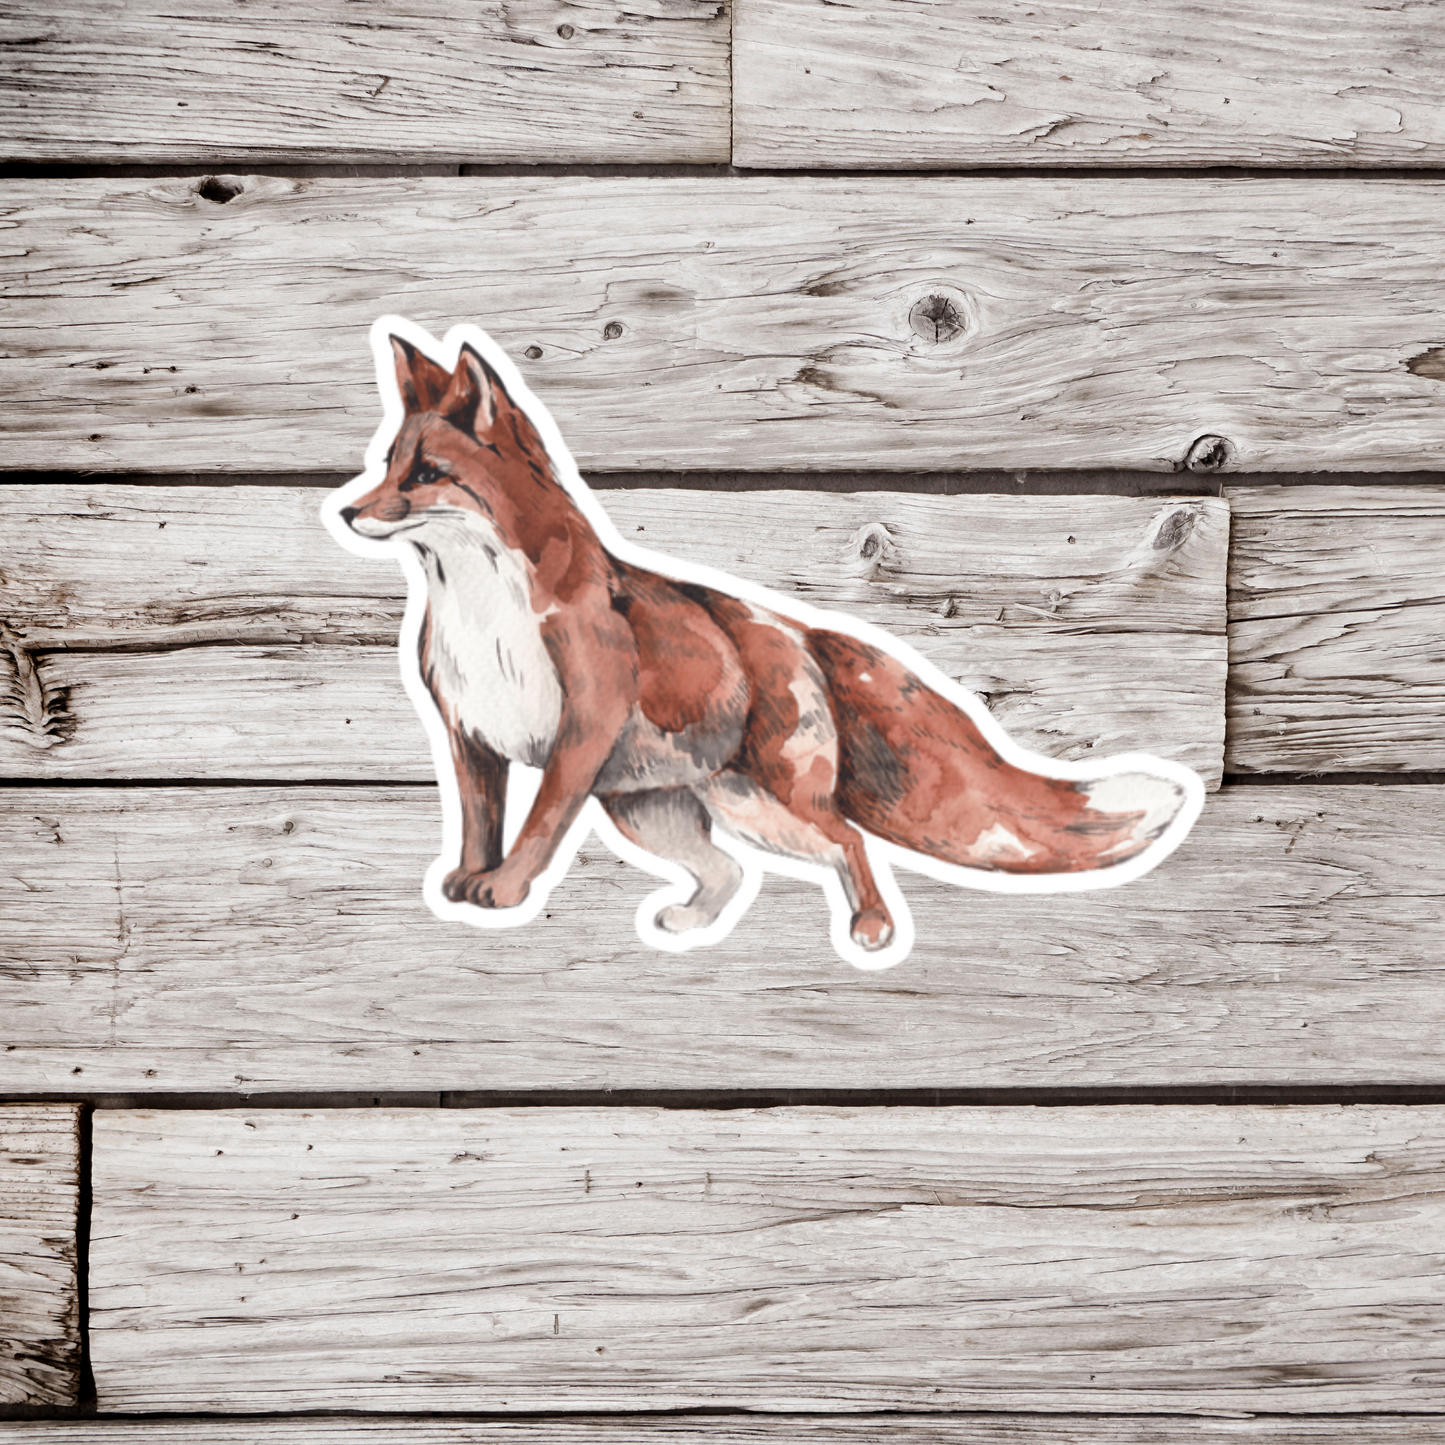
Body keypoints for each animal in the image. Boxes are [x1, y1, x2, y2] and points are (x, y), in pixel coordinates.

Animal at [322, 318, 1203, 971]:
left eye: (426, 473)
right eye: (385, 465)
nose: (345, 513)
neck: (480, 609)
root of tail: (802, 632)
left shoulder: (579, 732)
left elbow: (536, 826)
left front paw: (503, 890)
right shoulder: (471, 733)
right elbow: (477, 822)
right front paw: (468, 881)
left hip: (765, 799)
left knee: (846, 840)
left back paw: (872, 932)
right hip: (662, 811)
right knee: (734, 867)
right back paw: (692, 924)